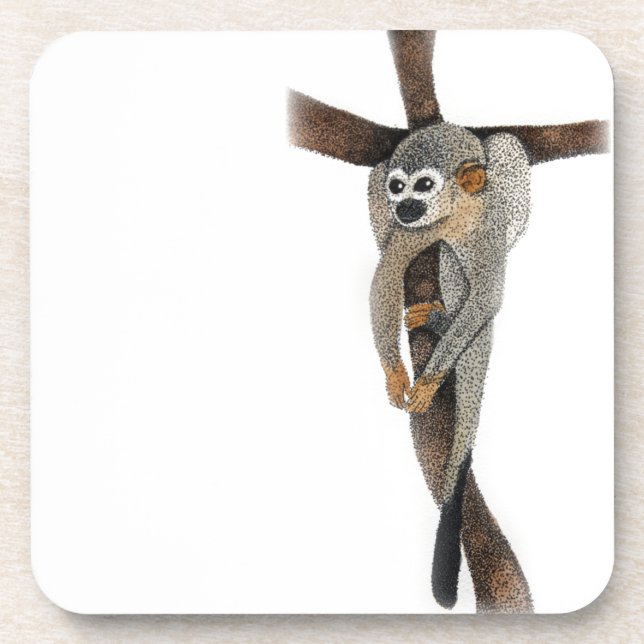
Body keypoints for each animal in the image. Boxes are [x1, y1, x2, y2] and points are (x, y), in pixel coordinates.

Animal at [367, 122, 530, 609]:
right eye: (398, 187)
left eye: (423, 185)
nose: (404, 205)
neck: (455, 214)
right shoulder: (415, 228)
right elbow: (385, 279)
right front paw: (397, 377)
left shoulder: (486, 231)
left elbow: (486, 301)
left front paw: (430, 380)